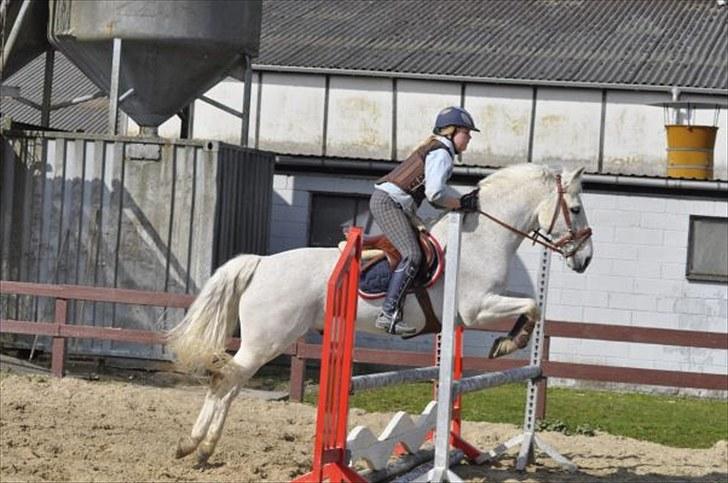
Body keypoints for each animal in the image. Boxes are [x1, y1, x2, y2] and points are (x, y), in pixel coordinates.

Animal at [168, 164, 596, 466]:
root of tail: (261, 264)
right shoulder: (478, 307)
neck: (480, 238)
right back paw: (195, 446)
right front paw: (510, 342)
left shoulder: (478, 309)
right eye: (575, 209)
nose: (586, 260)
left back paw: (196, 448)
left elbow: (531, 302)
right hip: (267, 341)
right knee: (226, 380)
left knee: (227, 382)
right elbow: (532, 305)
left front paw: (509, 341)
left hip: (266, 341)